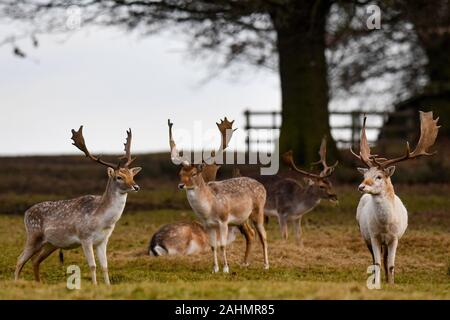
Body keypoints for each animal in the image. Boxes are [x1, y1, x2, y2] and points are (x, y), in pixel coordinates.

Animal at [14, 126, 141, 284]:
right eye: (119, 177)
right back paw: (15, 283)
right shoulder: (85, 237)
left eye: (132, 175)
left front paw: (108, 286)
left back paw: (39, 283)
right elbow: (92, 265)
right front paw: (95, 285)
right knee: (20, 259)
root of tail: (25, 213)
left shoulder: (103, 240)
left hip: (51, 243)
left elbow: (105, 266)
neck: (102, 221)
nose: (136, 187)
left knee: (35, 260)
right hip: (33, 235)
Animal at [168, 117, 268, 272]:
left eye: (194, 173)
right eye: (180, 174)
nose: (181, 185)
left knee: (263, 235)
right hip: (242, 218)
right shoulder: (208, 225)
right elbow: (213, 246)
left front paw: (226, 269)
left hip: (258, 210)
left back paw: (266, 265)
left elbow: (222, 245)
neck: (208, 210)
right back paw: (244, 263)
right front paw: (215, 269)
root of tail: (263, 187)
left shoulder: (224, 220)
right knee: (251, 233)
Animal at [352, 111, 440, 286]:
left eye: (379, 176)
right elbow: (377, 262)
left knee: (386, 259)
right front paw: (377, 283)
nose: (361, 187)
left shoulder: (394, 238)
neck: (385, 225)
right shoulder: (373, 235)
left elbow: (391, 264)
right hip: (364, 234)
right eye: (365, 175)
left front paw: (391, 283)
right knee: (376, 259)